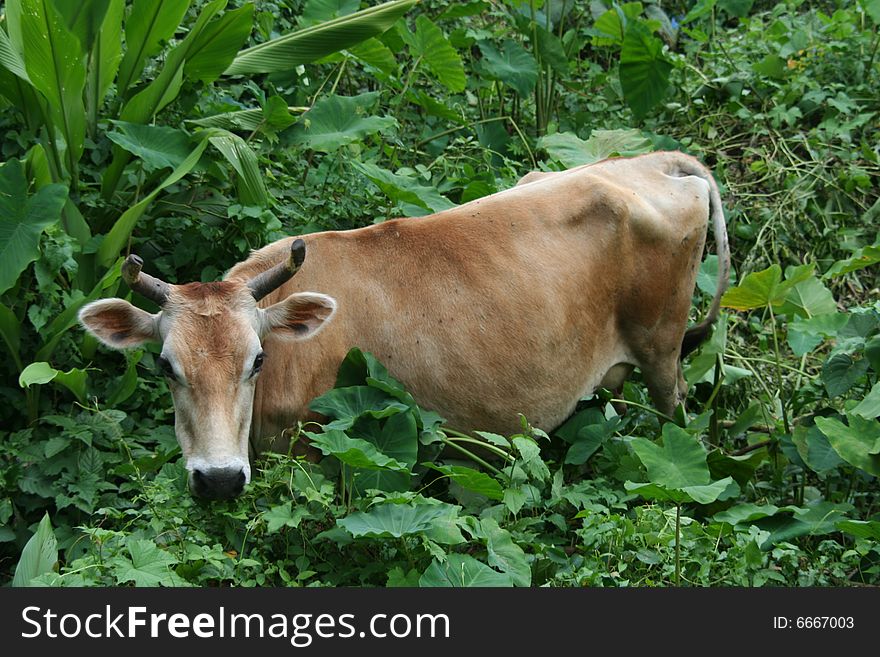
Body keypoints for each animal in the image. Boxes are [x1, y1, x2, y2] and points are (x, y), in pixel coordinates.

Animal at [81, 150, 728, 498]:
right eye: (166, 365)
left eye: (256, 360)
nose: (217, 479)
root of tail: (652, 161)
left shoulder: (322, 457)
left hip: (662, 350)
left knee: (676, 409)